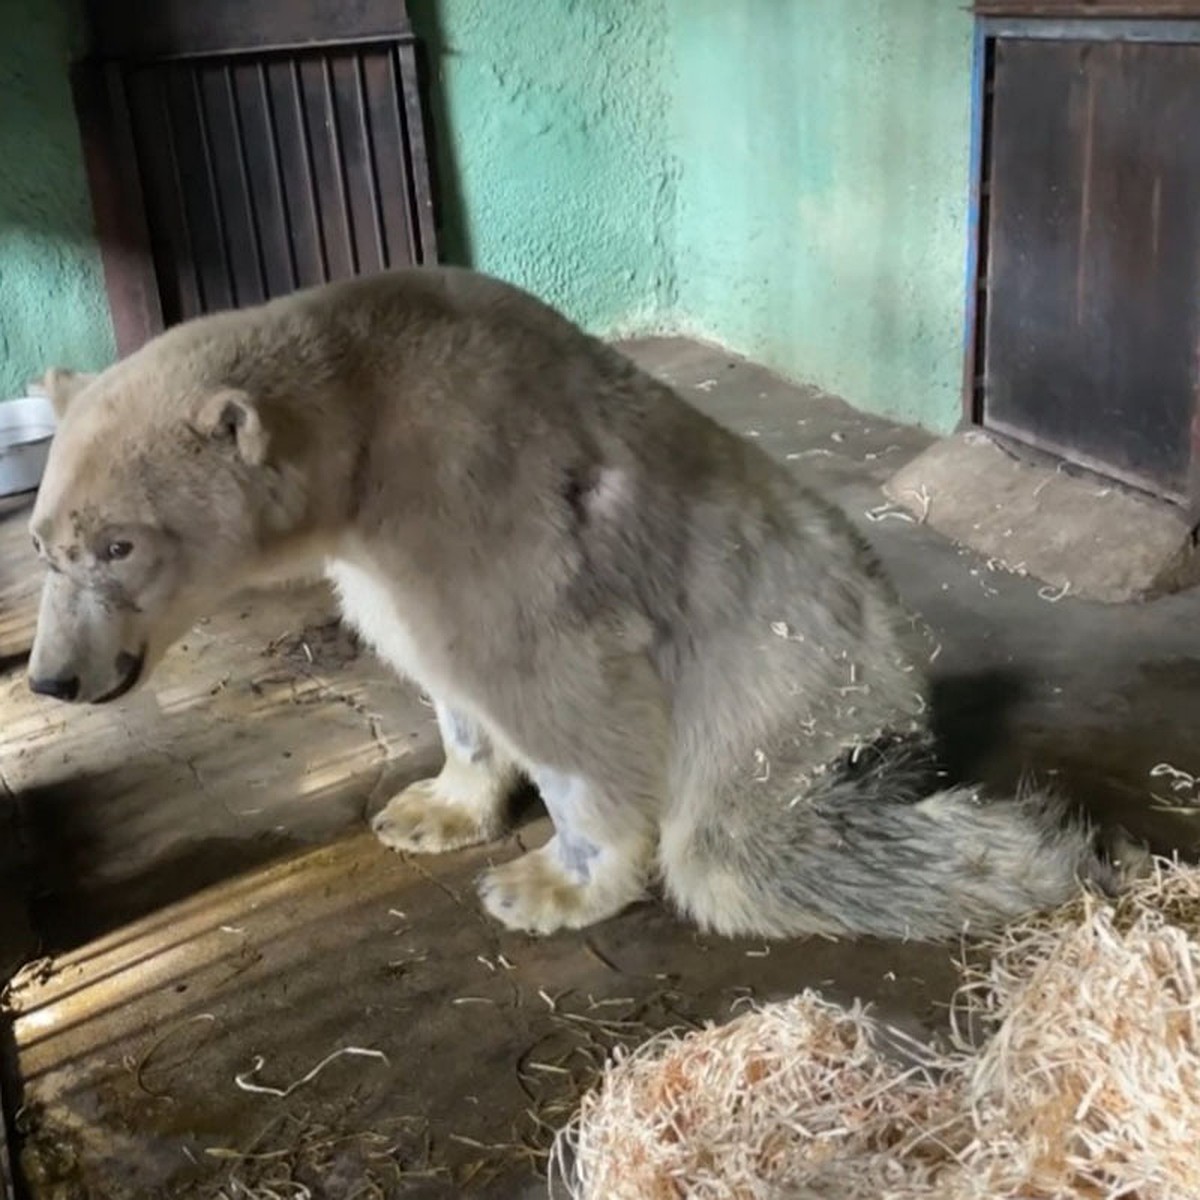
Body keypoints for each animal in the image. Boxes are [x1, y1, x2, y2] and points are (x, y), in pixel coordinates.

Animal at [25, 267, 1113, 940]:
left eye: (119, 546)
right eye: (43, 546)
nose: (54, 678)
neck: (367, 413)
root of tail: (897, 672)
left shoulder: (479, 500)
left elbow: (555, 689)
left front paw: (543, 886)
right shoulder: (385, 557)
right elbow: (444, 674)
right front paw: (428, 810)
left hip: (787, 680)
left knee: (739, 848)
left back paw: (1030, 854)